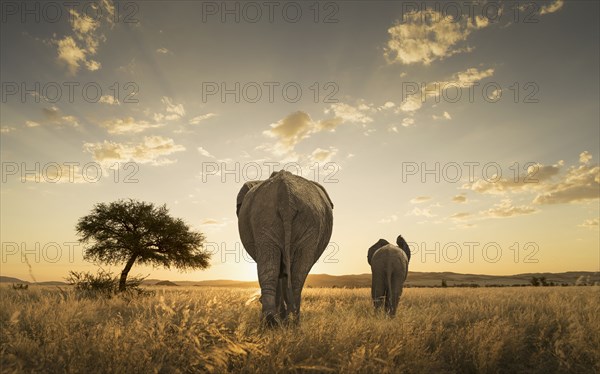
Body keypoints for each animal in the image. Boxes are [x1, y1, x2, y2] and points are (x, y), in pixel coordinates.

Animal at [237, 170, 336, 324]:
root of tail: (286, 194)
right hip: (282, 218)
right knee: (290, 272)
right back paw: (286, 321)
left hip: (283, 218)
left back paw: (278, 321)